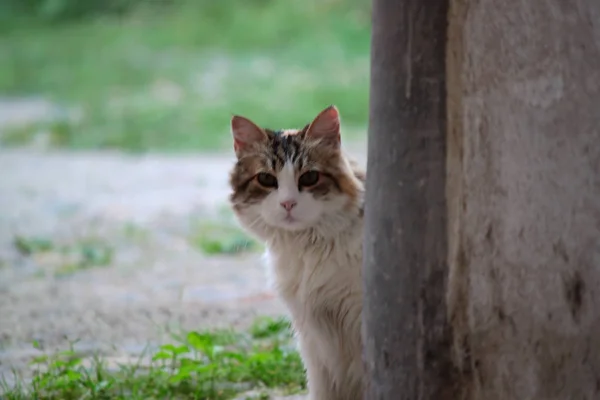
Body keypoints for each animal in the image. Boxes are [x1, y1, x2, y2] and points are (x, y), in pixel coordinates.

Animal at [226, 106, 364, 400]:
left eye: (309, 177)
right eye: (266, 179)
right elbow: (322, 389)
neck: (307, 250)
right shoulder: (312, 333)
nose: (288, 203)